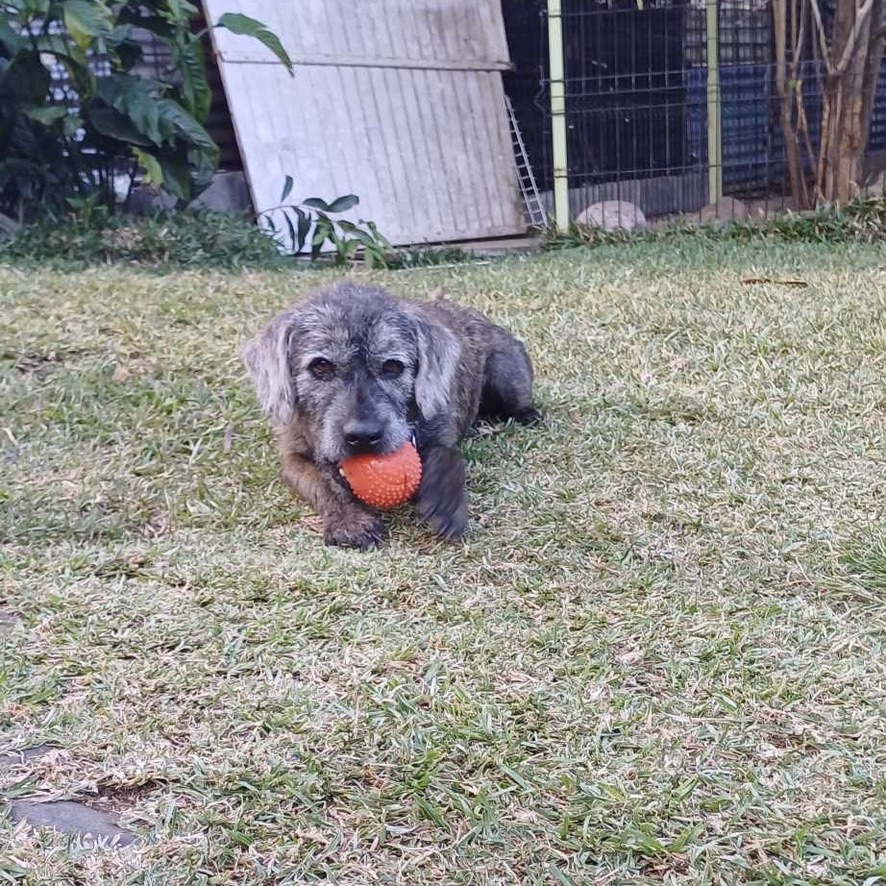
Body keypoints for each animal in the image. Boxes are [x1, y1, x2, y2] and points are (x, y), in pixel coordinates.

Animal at [239, 284, 540, 548]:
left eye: (392, 366)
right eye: (321, 366)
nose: (362, 436)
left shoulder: (441, 431)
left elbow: (447, 455)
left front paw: (445, 497)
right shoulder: (293, 457)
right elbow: (322, 483)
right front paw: (351, 520)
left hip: (507, 376)